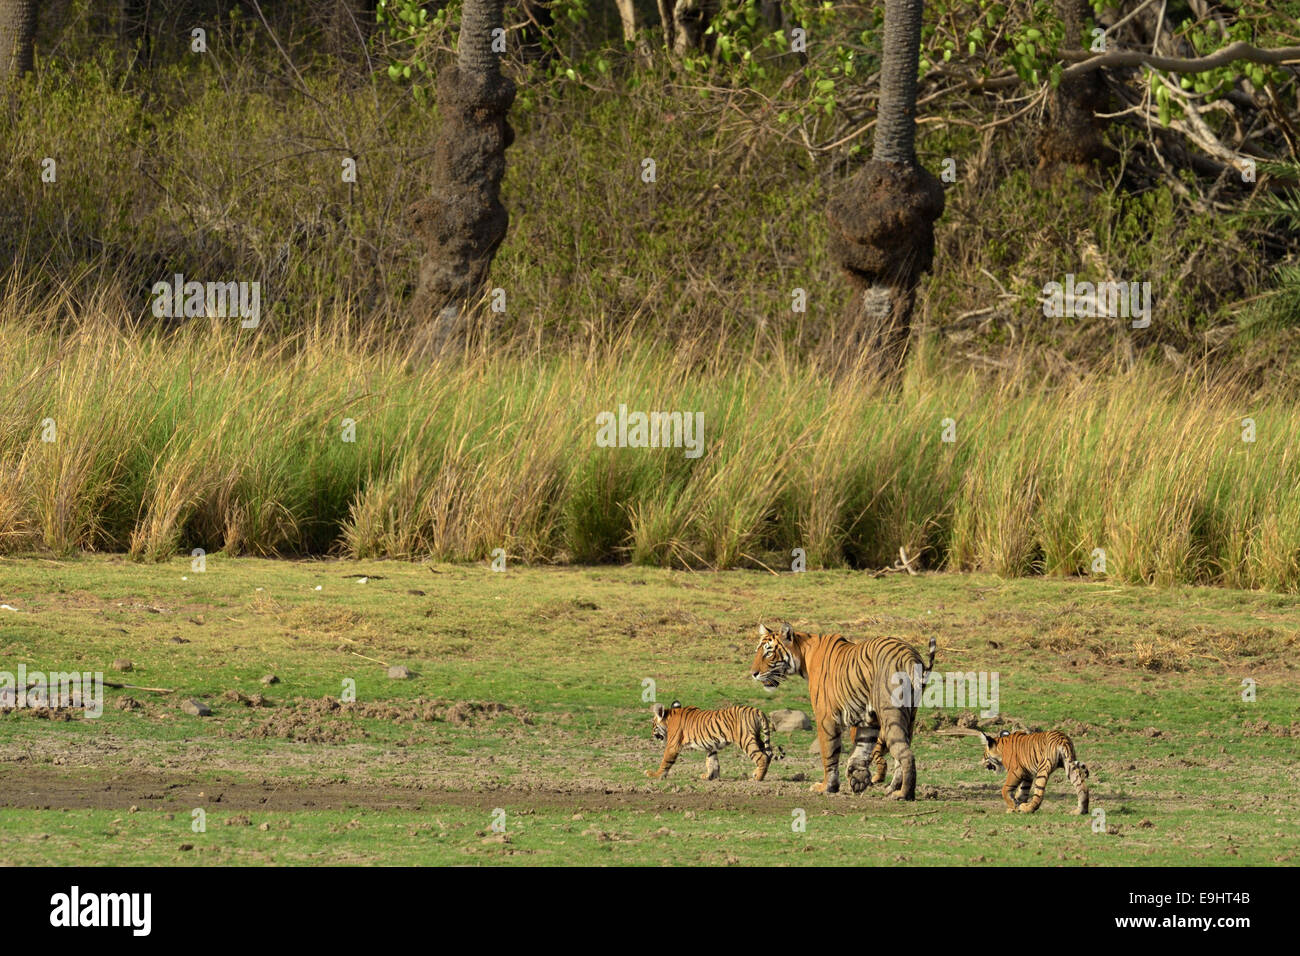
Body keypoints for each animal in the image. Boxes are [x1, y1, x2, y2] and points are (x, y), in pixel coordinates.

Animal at [754, 621, 935, 801]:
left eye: (769, 652)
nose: (754, 673)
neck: (803, 654)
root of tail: (910, 655)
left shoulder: (825, 717)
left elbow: (829, 754)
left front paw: (826, 787)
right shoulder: (869, 721)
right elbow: (862, 749)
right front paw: (858, 779)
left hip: (891, 714)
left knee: (906, 754)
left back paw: (903, 794)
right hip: (910, 717)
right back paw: (892, 789)